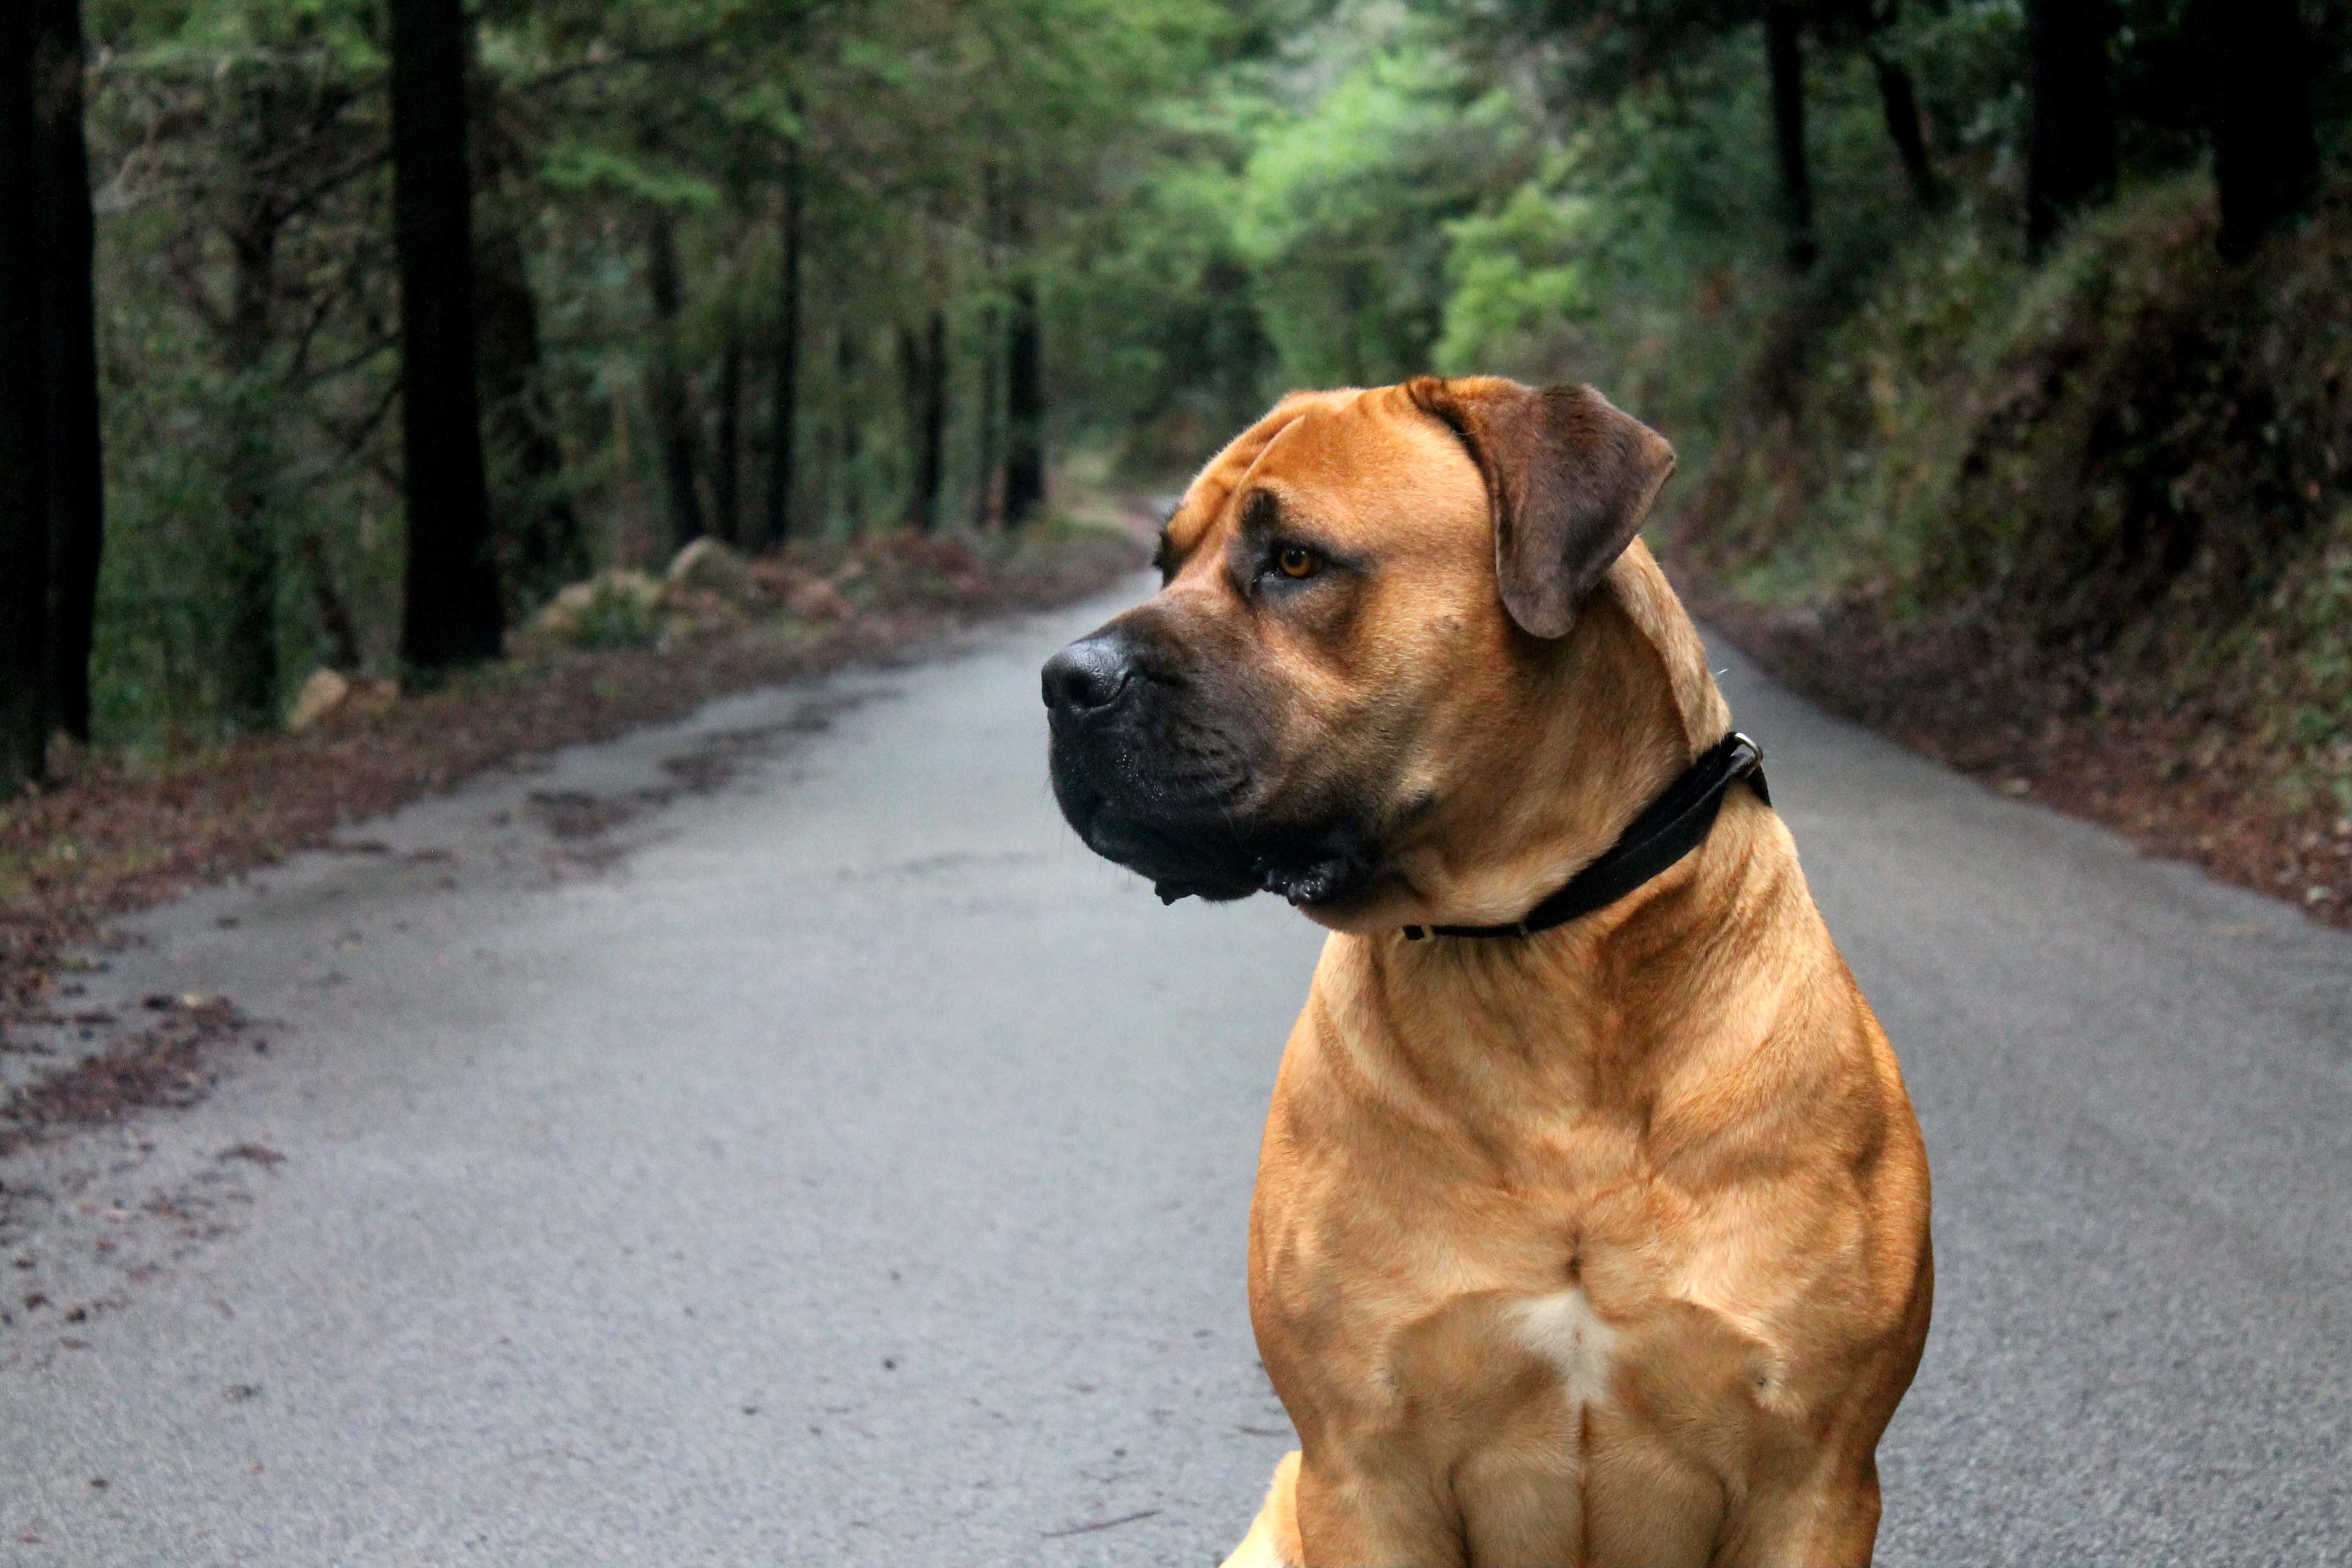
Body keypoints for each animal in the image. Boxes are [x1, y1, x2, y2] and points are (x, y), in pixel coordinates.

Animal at [1049, 383, 1929, 1568]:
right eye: (1164, 561)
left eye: (1294, 559)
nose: (1064, 682)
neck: (1536, 955)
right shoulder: (1361, 1470)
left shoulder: (1814, 1481)